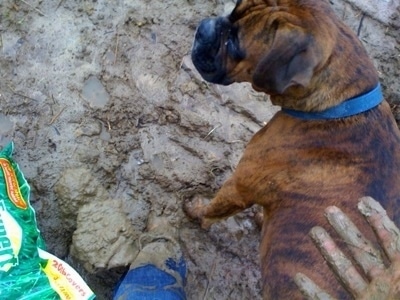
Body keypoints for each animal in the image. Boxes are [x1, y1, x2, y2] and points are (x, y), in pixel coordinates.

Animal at [186, 0, 400, 298]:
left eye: (233, 42)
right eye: (231, 12)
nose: (204, 27)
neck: (341, 105)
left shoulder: (239, 188)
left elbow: (213, 209)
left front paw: (196, 210)